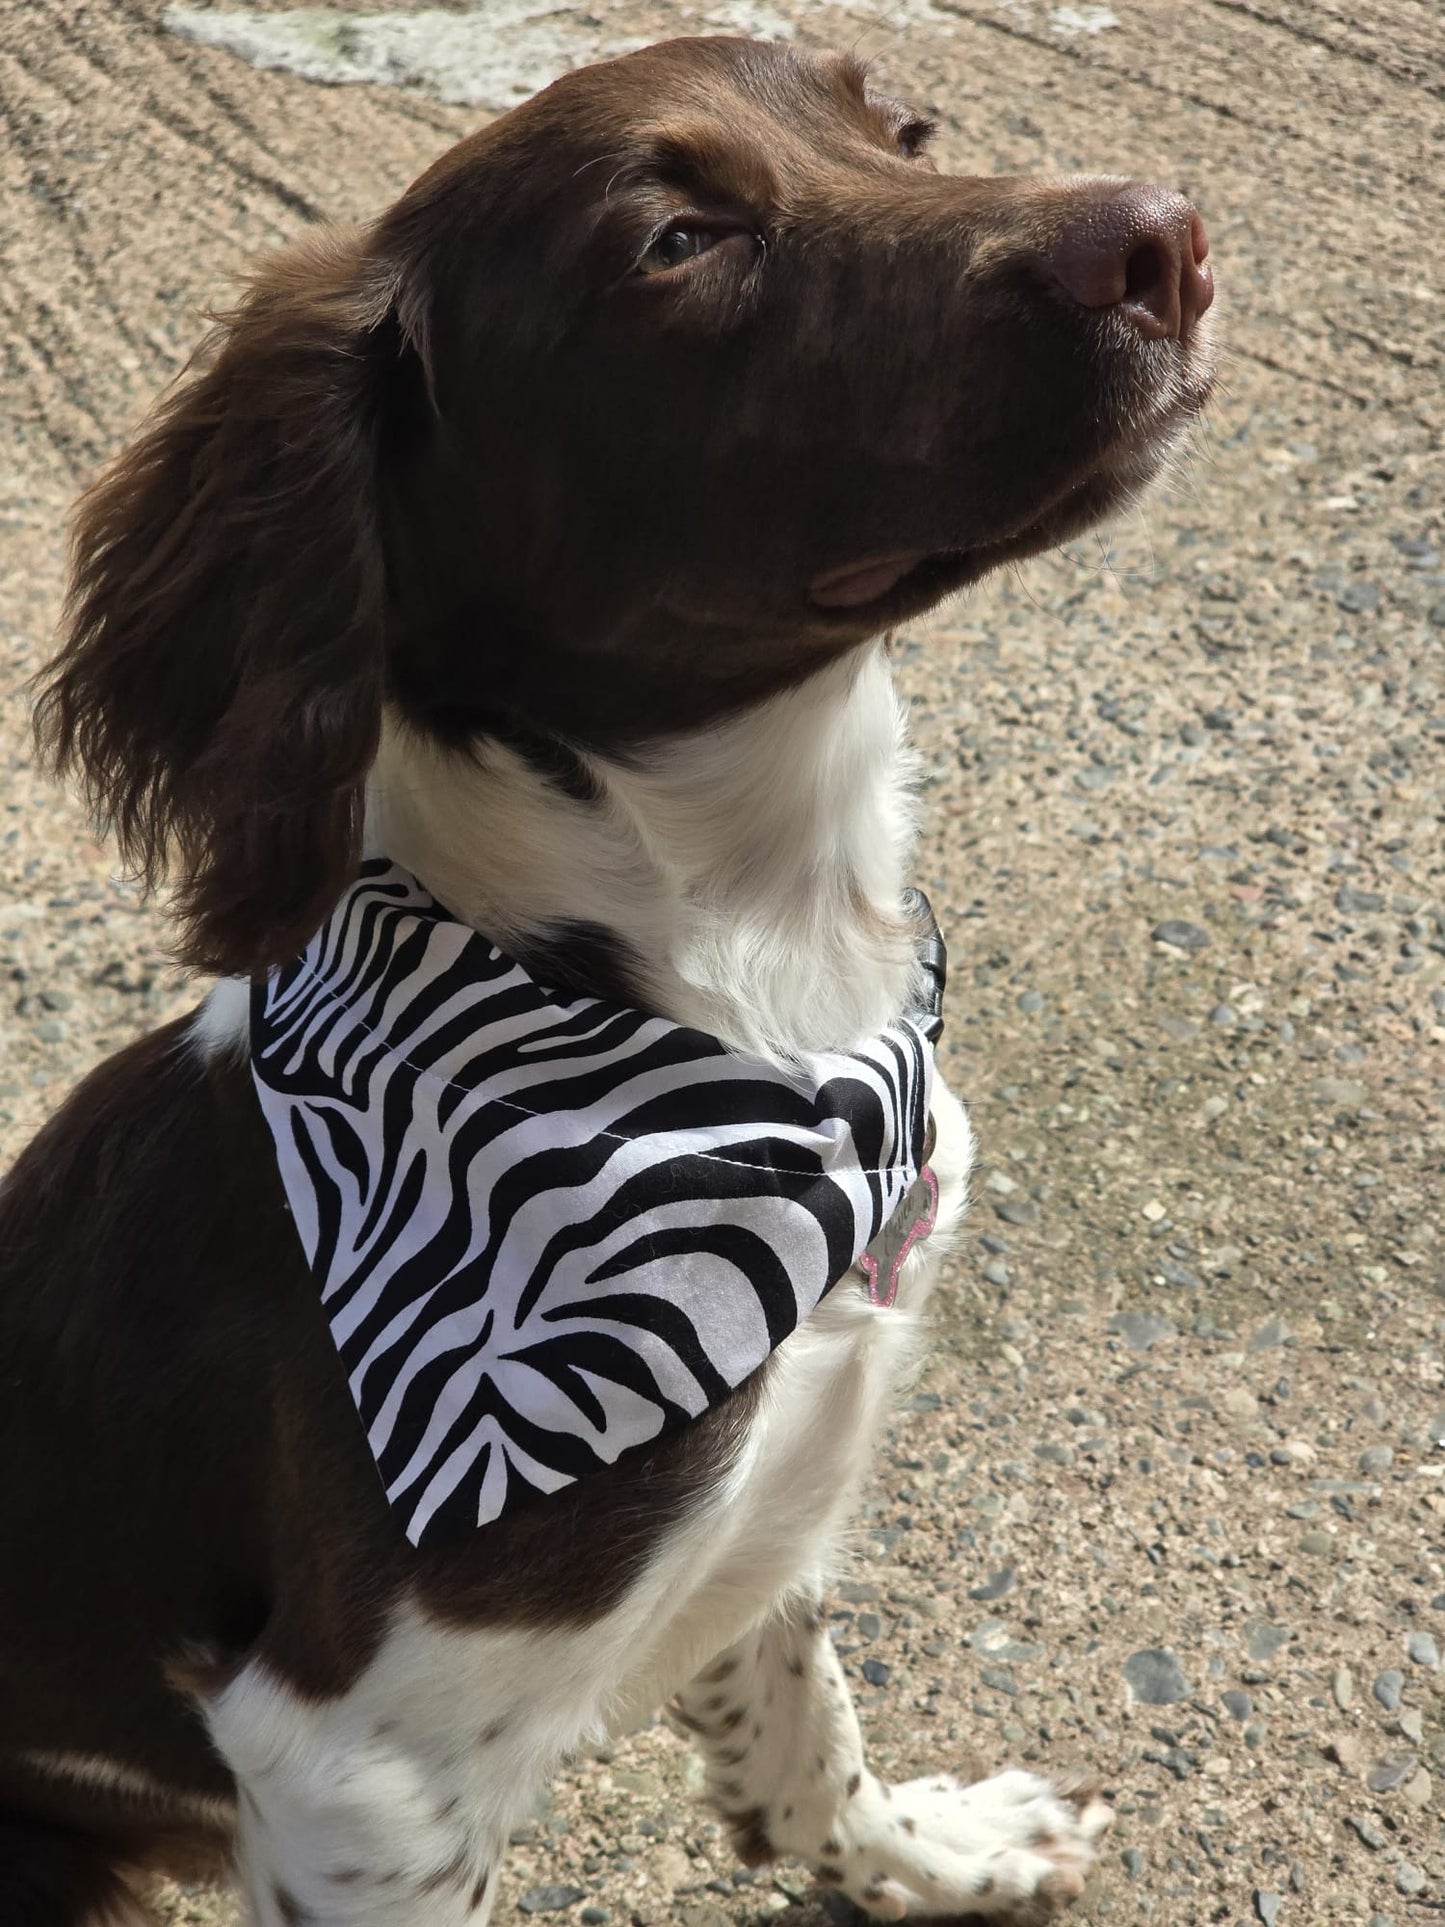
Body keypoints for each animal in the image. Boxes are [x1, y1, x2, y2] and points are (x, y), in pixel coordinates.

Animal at [0, 33, 1225, 1927]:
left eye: (905, 129)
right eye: (677, 243)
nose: (1168, 241)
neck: (762, 1004)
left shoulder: (779, 1485)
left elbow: (804, 1706)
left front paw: (923, 1854)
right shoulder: (359, 1772)